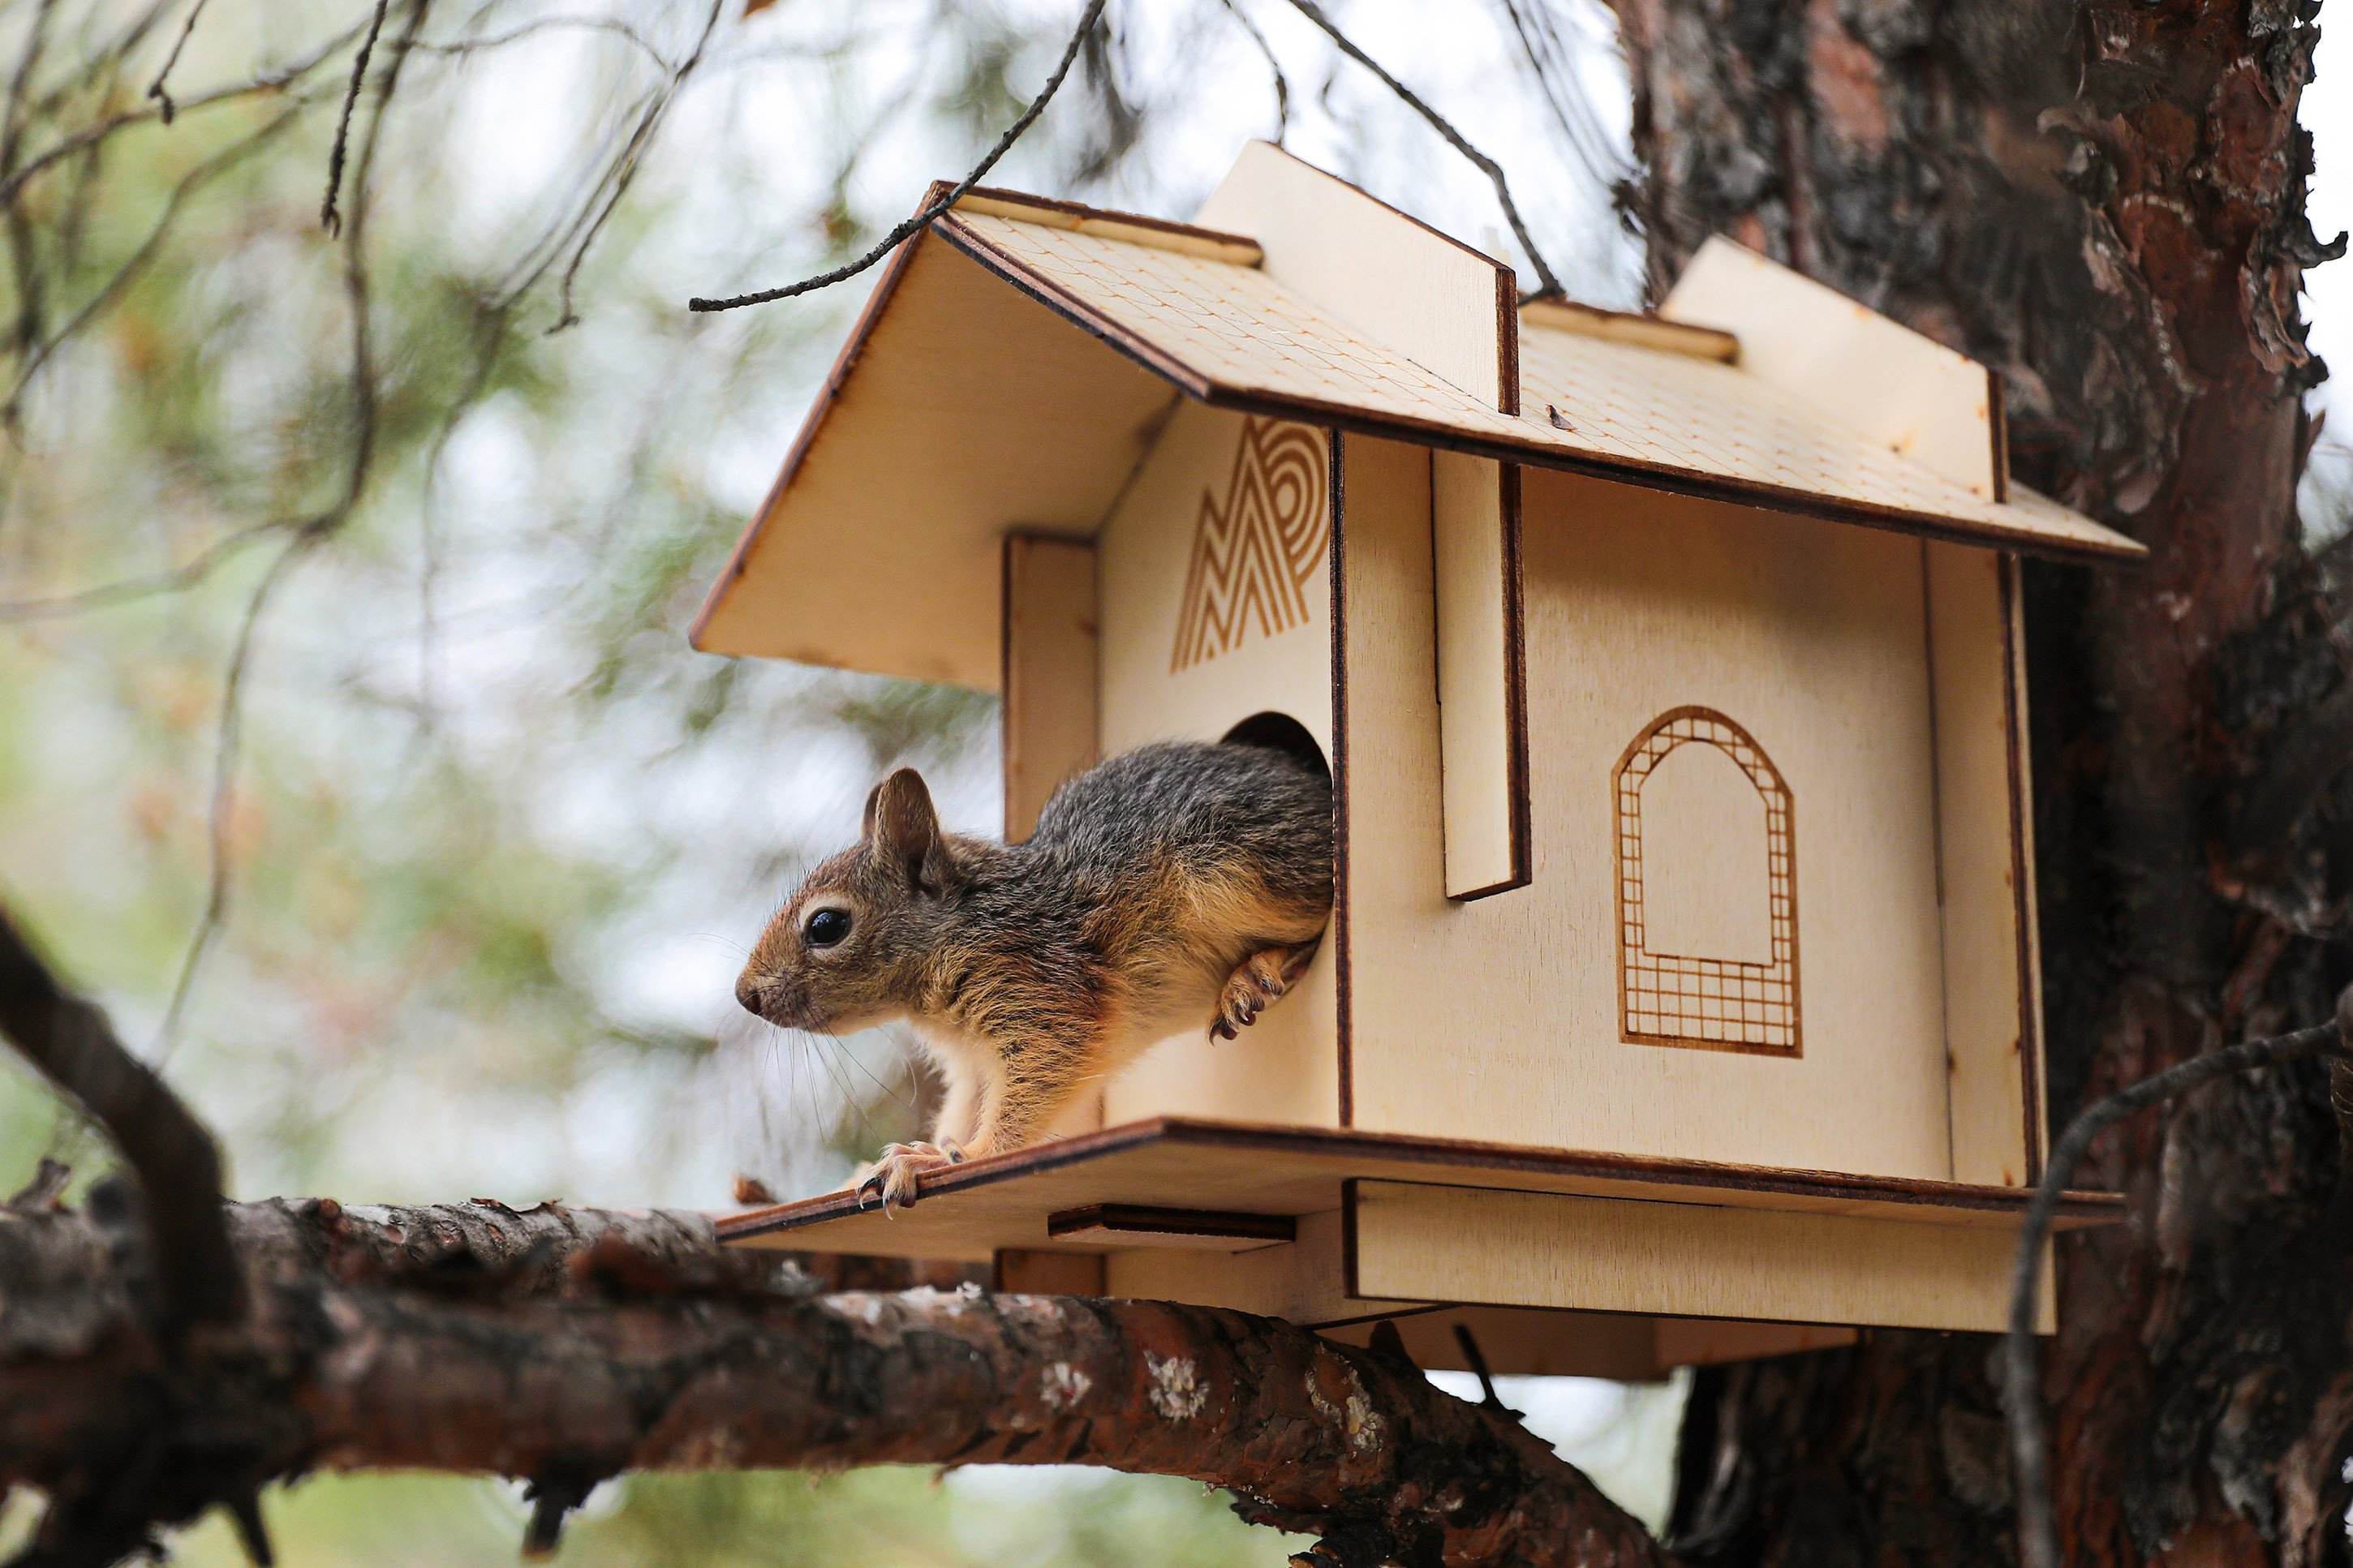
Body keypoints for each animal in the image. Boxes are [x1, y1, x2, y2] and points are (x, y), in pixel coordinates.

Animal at [733, 742, 1336, 1213]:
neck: (955, 930)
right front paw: (916, 1154)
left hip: (1238, 867)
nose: (745, 996)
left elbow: (1038, 1078)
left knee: (1319, 922)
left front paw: (958, 1158)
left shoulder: (1039, 986)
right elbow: (965, 1106)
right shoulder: (972, 1060)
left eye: (827, 925)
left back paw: (1254, 974)